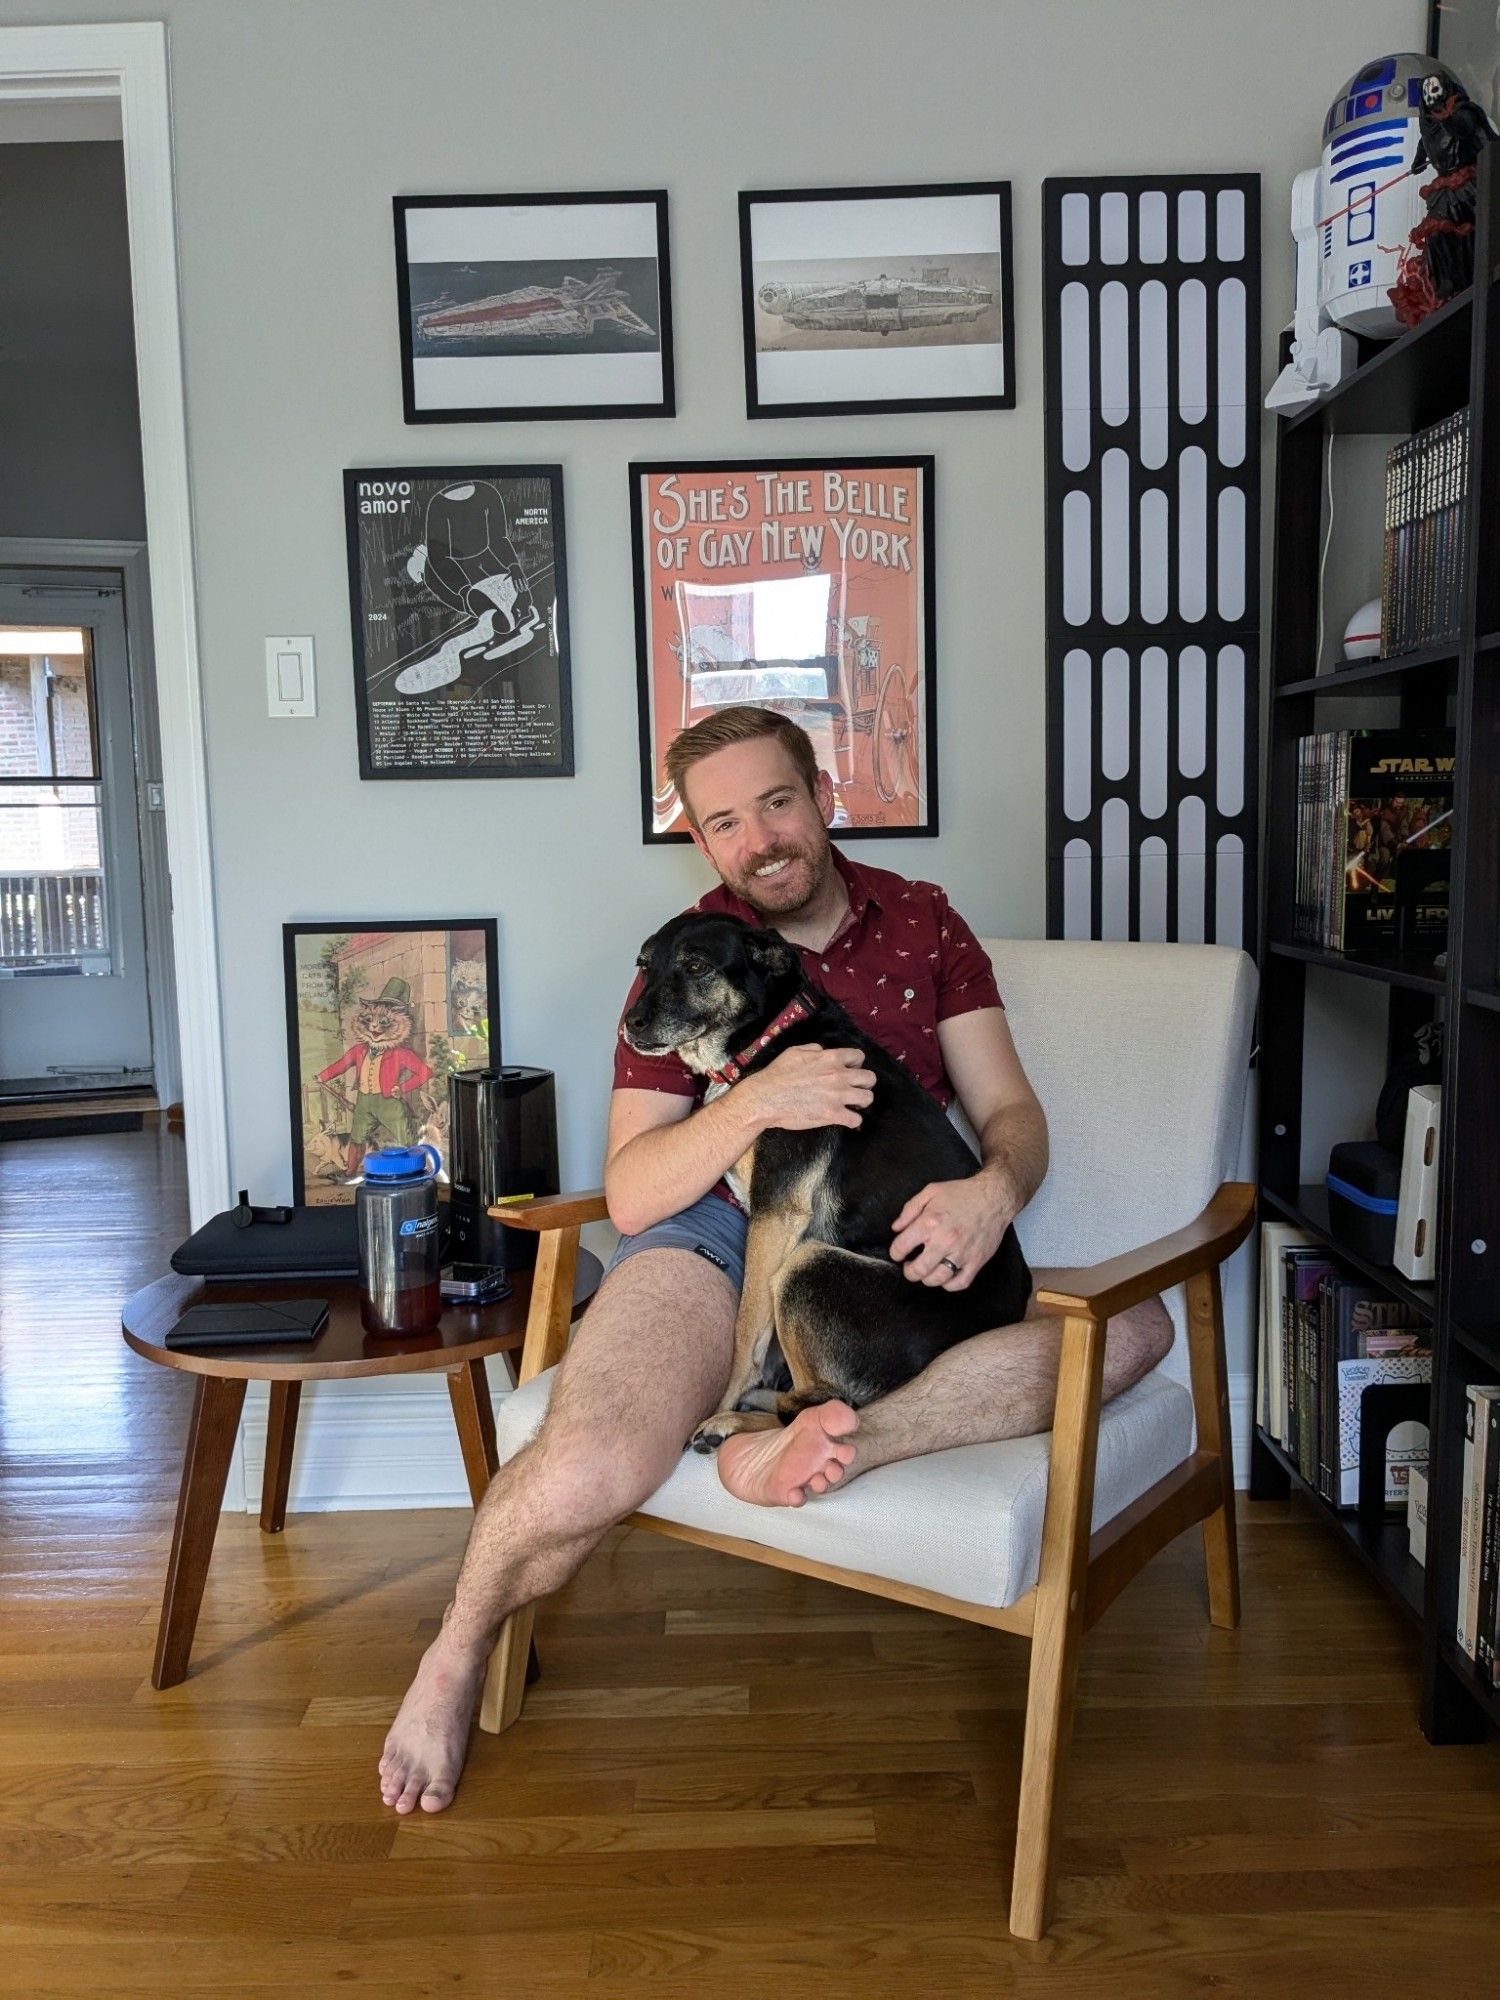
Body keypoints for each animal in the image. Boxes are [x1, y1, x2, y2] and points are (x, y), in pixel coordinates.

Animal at [624, 912, 1032, 1456]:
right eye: (643, 966)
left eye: (696, 966)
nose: (630, 1024)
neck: (768, 1037)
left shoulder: (776, 1212)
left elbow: (746, 1331)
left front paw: (724, 1402)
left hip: (809, 1265)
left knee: (819, 1406)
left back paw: (731, 1421)